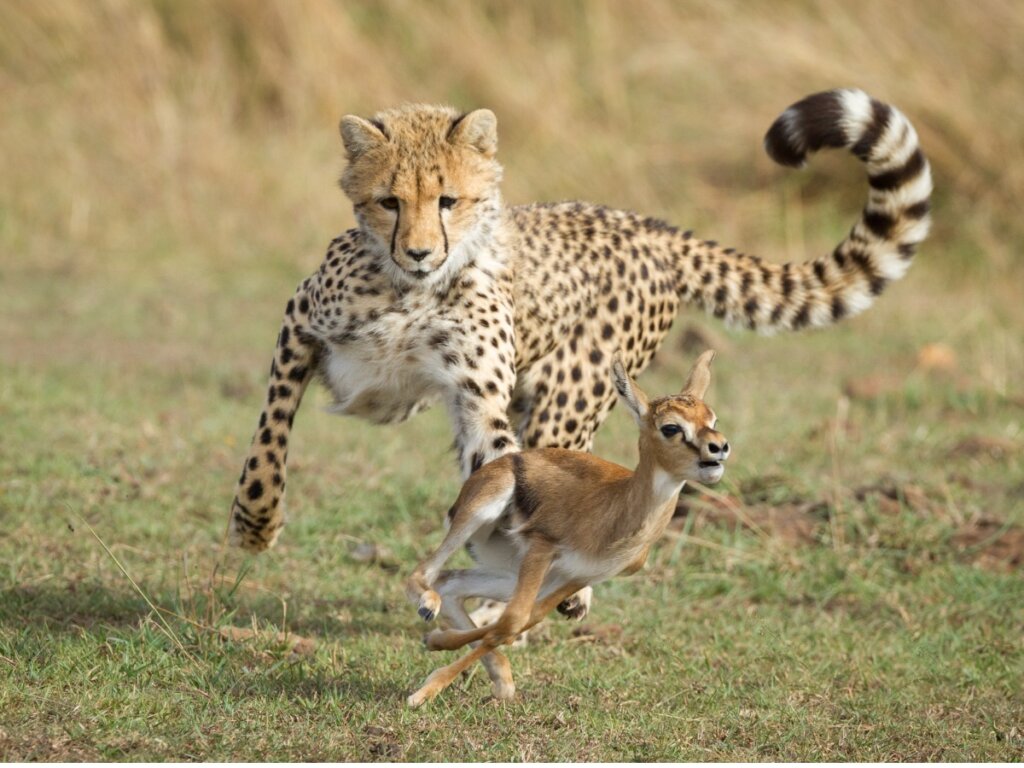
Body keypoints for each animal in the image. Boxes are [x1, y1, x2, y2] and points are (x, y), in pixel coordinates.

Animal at [228, 89, 931, 622]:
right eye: (389, 201)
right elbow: (269, 435)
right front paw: (255, 523)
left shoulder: (479, 400)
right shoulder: (300, 323)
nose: (421, 252)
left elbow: (501, 467)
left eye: (449, 200)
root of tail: (650, 226)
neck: (412, 291)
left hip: (570, 399)